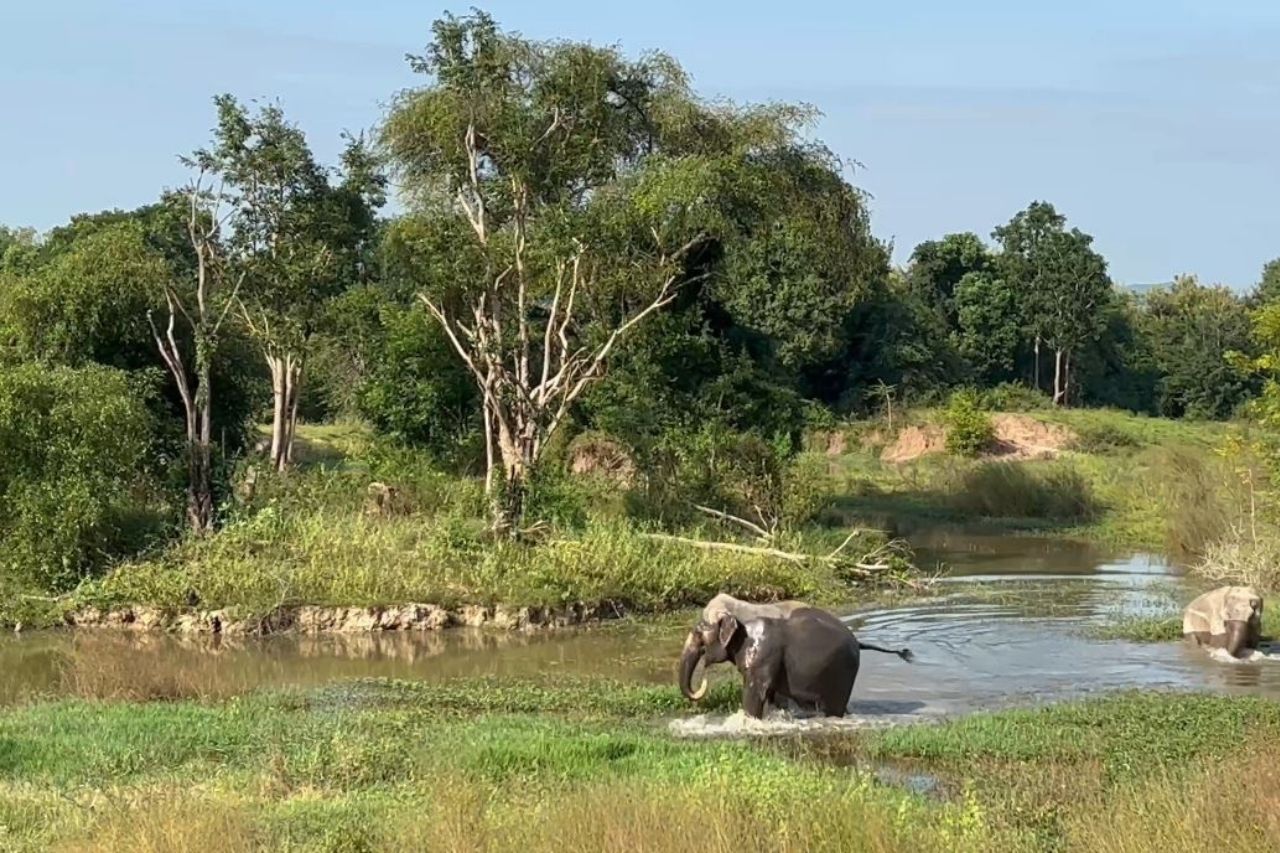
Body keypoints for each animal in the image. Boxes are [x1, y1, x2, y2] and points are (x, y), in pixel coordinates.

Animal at [675, 596, 916, 717]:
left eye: (699, 634)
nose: (704, 679)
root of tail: (858, 641)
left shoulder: (763, 656)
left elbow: (754, 694)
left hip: (842, 672)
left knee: (833, 707)